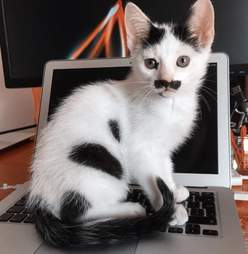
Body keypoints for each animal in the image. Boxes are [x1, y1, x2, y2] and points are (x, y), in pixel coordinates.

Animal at [28, 0, 215, 247]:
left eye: (182, 61)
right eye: (151, 63)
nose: (165, 82)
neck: (170, 105)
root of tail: (39, 197)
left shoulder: (162, 149)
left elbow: (165, 170)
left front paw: (174, 191)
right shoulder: (140, 150)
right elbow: (154, 180)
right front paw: (172, 210)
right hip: (98, 161)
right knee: (75, 213)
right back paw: (131, 209)